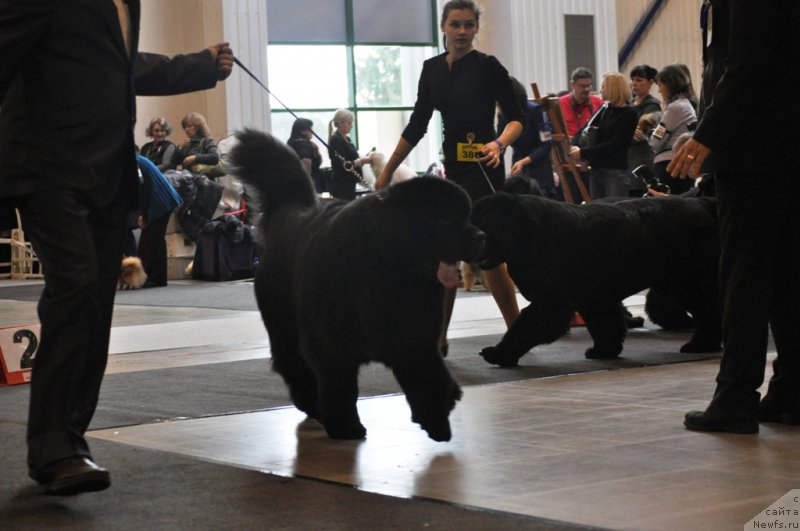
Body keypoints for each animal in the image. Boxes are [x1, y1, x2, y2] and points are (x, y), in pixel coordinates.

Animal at [228, 131, 484, 442]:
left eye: (467, 215)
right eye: (445, 219)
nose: (481, 237)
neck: (390, 263)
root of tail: (288, 219)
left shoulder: (413, 334)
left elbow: (429, 374)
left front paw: (437, 420)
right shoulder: (331, 344)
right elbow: (341, 386)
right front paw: (346, 427)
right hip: (283, 325)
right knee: (294, 366)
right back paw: (312, 404)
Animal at [472, 193, 720, 368]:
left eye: (486, 226)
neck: (530, 235)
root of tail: (703, 203)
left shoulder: (552, 302)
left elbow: (526, 325)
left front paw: (499, 353)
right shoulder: (595, 298)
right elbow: (605, 324)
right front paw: (604, 351)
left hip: (686, 282)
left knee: (708, 311)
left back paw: (700, 344)